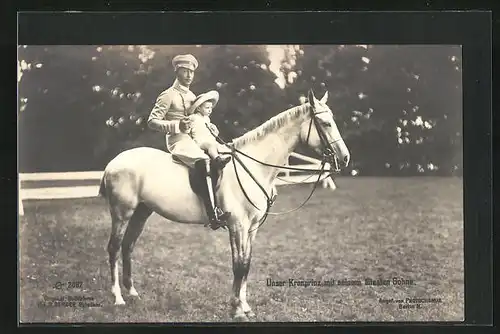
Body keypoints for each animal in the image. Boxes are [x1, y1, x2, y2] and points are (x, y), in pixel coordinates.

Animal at [96, 90, 348, 322]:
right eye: (326, 123)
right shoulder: (237, 226)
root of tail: (113, 163)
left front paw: (245, 307)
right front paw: (237, 309)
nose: (345, 158)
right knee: (114, 248)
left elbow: (246, 264)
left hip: (142, 212)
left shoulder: (251, 229)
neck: (252, 168)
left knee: (128, 246)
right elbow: (238, 266)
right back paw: (118, 297)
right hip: (122, 213)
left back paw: (132, 292)